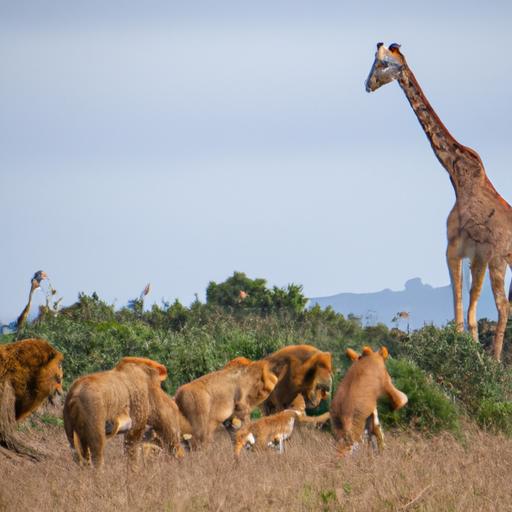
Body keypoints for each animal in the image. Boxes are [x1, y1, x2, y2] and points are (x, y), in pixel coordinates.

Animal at [364, 44, 512, 362]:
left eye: (382, 64)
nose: (367, 85)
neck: (456, 174)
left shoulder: (461, 249)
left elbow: (463, 312)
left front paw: (473, 358)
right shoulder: (472, 254)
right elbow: (469, 313)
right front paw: (471, 354)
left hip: (499, 259)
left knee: (503, 306)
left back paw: (496, 360)